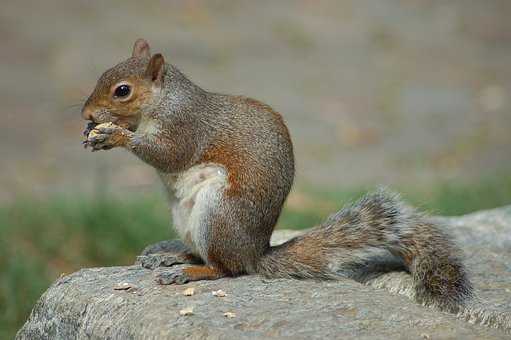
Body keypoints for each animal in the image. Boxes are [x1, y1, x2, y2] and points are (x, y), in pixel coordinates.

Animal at [83, 38, 472, 312]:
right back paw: (174, 257)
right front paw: (97, 132)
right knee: (209, 256)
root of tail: (256, 253)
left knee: (226, 268)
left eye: (122, 90)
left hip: (217, 214)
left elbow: (167, 155)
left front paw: (114, 135)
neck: (163, 101)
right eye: (101, 75)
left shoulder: (186, 128)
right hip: (188, 220)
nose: (86, 113)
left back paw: (189, 272)